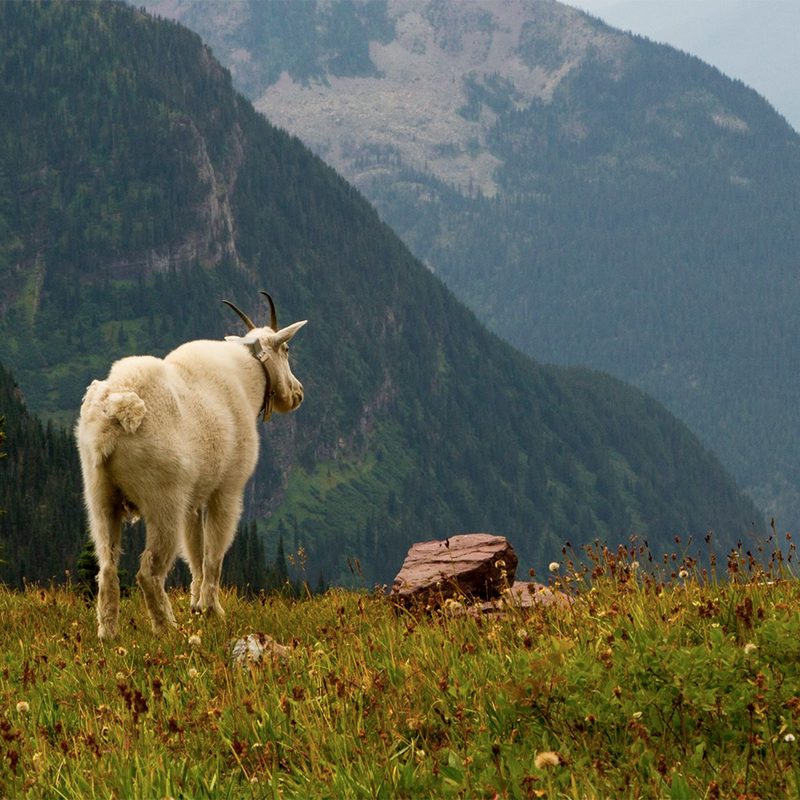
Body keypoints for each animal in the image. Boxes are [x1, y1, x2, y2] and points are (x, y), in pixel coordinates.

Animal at [75, 292, 307, 640]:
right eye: (287, 349)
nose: (297, 394)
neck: (247, 378)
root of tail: (114, 417)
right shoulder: (227, 489)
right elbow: (213, 555)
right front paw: (213, 610)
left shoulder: (194, 498)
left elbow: (195, 551)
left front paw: (197, 605)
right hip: (163, 502)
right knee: (148, 571)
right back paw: (166, 628)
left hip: (99, 495)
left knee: (107, 567)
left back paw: (108, 633)